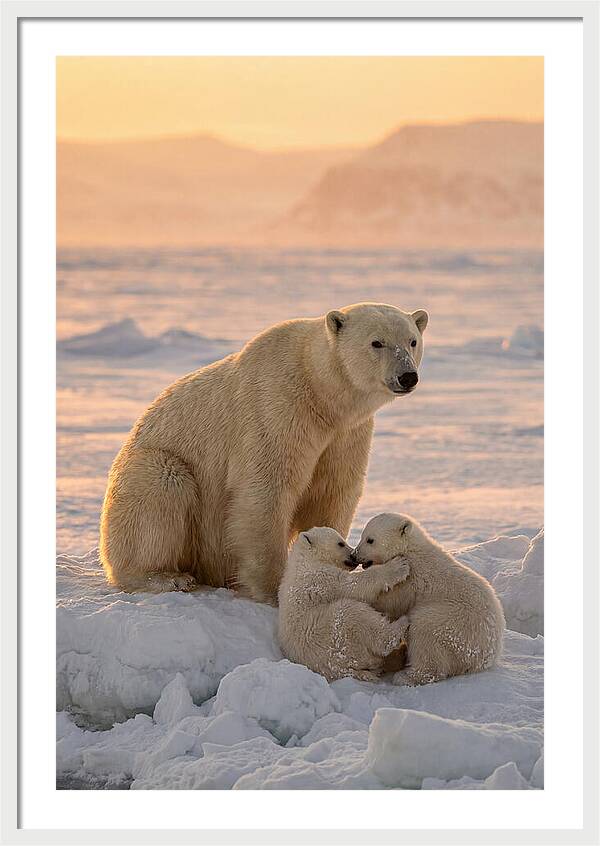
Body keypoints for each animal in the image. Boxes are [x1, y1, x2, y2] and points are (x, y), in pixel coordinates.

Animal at [99, 303, 428, 601]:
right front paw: (274, 588)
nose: (407, 376)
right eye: (376, 342)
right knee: (161, 486)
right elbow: (266, 490)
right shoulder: (277, 408)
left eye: (412, 340)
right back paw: (167, 577)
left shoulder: (346, 434)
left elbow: (332, 489)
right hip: (150, 468)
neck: (320, 394)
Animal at [278, 527, 412, 682]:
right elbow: (353, 585)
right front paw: (399, 565)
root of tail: (341, 670)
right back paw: (402, 623)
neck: (305, 559)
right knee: (354, 615)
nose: (353, 555)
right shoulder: (320, 578)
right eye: (340, 543)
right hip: (333, 637)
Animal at [353, 513, 505, 685]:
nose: (354, 555)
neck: (409, 549)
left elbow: (390, 601)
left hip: (455, 625)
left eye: (370, 540)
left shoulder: (410, 580)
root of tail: (485, 658)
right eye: (362, 535)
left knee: (424, 630)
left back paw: (405, 676)